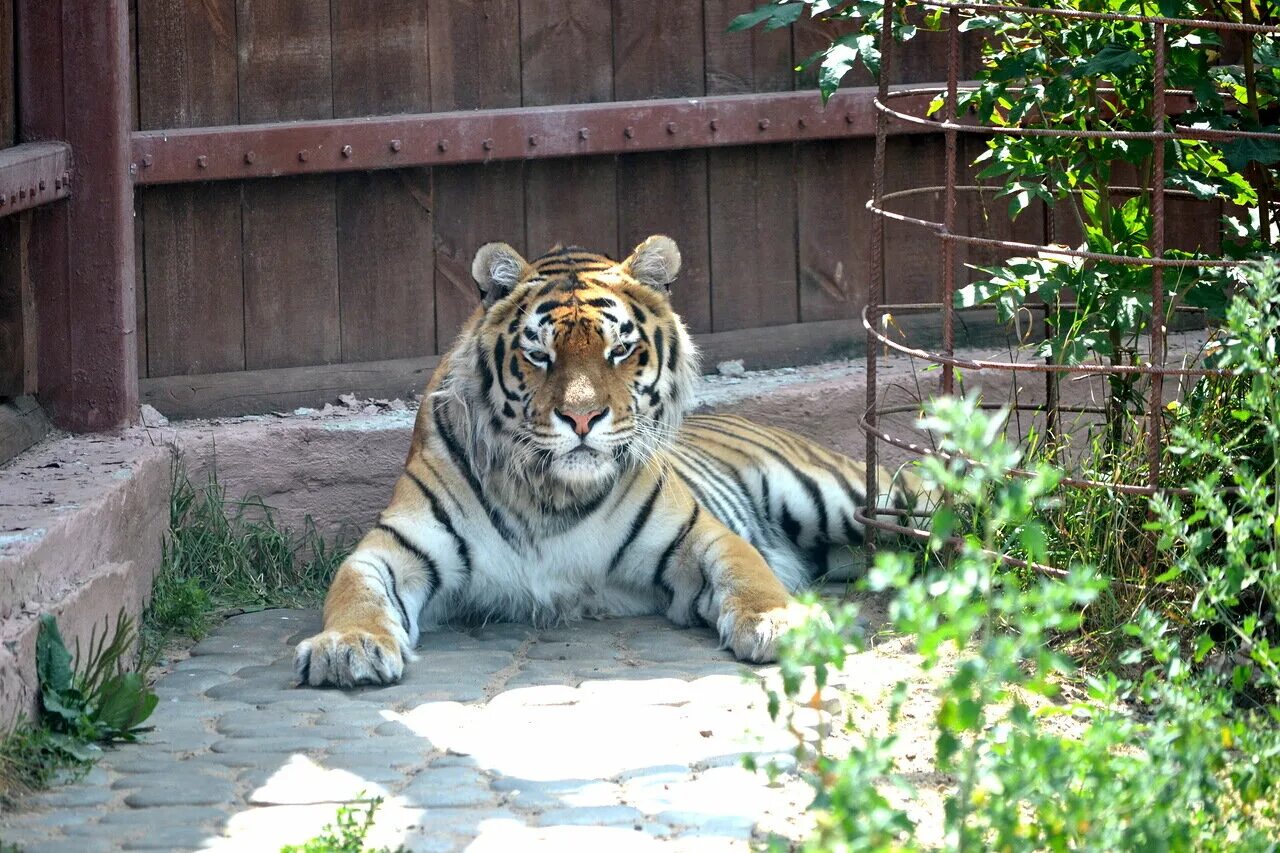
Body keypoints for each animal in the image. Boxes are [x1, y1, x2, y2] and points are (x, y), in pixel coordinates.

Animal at [294, 235, 926, 686]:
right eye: (538, 354)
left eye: (620, 349)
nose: (581, 419)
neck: (547, 496)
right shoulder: (394, 546)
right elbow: (354, 591)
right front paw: (347, 648)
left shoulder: (698, 534)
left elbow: (749, 573)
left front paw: (780, 623)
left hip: (852, 495)